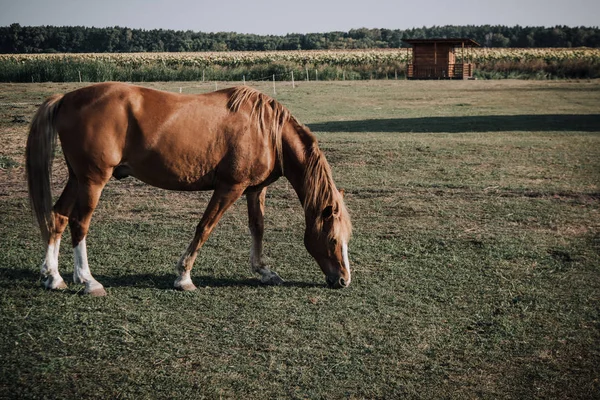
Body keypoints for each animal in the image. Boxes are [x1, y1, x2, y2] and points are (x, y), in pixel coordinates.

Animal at [25, 82, 350, 294]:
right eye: (333, 239)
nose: (344, 280)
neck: (267, 131)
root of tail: (66, 98)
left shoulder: (254, 190)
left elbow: (257, 228)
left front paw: (264, 271)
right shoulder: (230, 188)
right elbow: (205, 227)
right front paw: (183, 276)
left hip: (77, 178)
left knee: (58, 216)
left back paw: (53, 277)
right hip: (93, 180)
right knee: (79, 223)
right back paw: (88, 280)